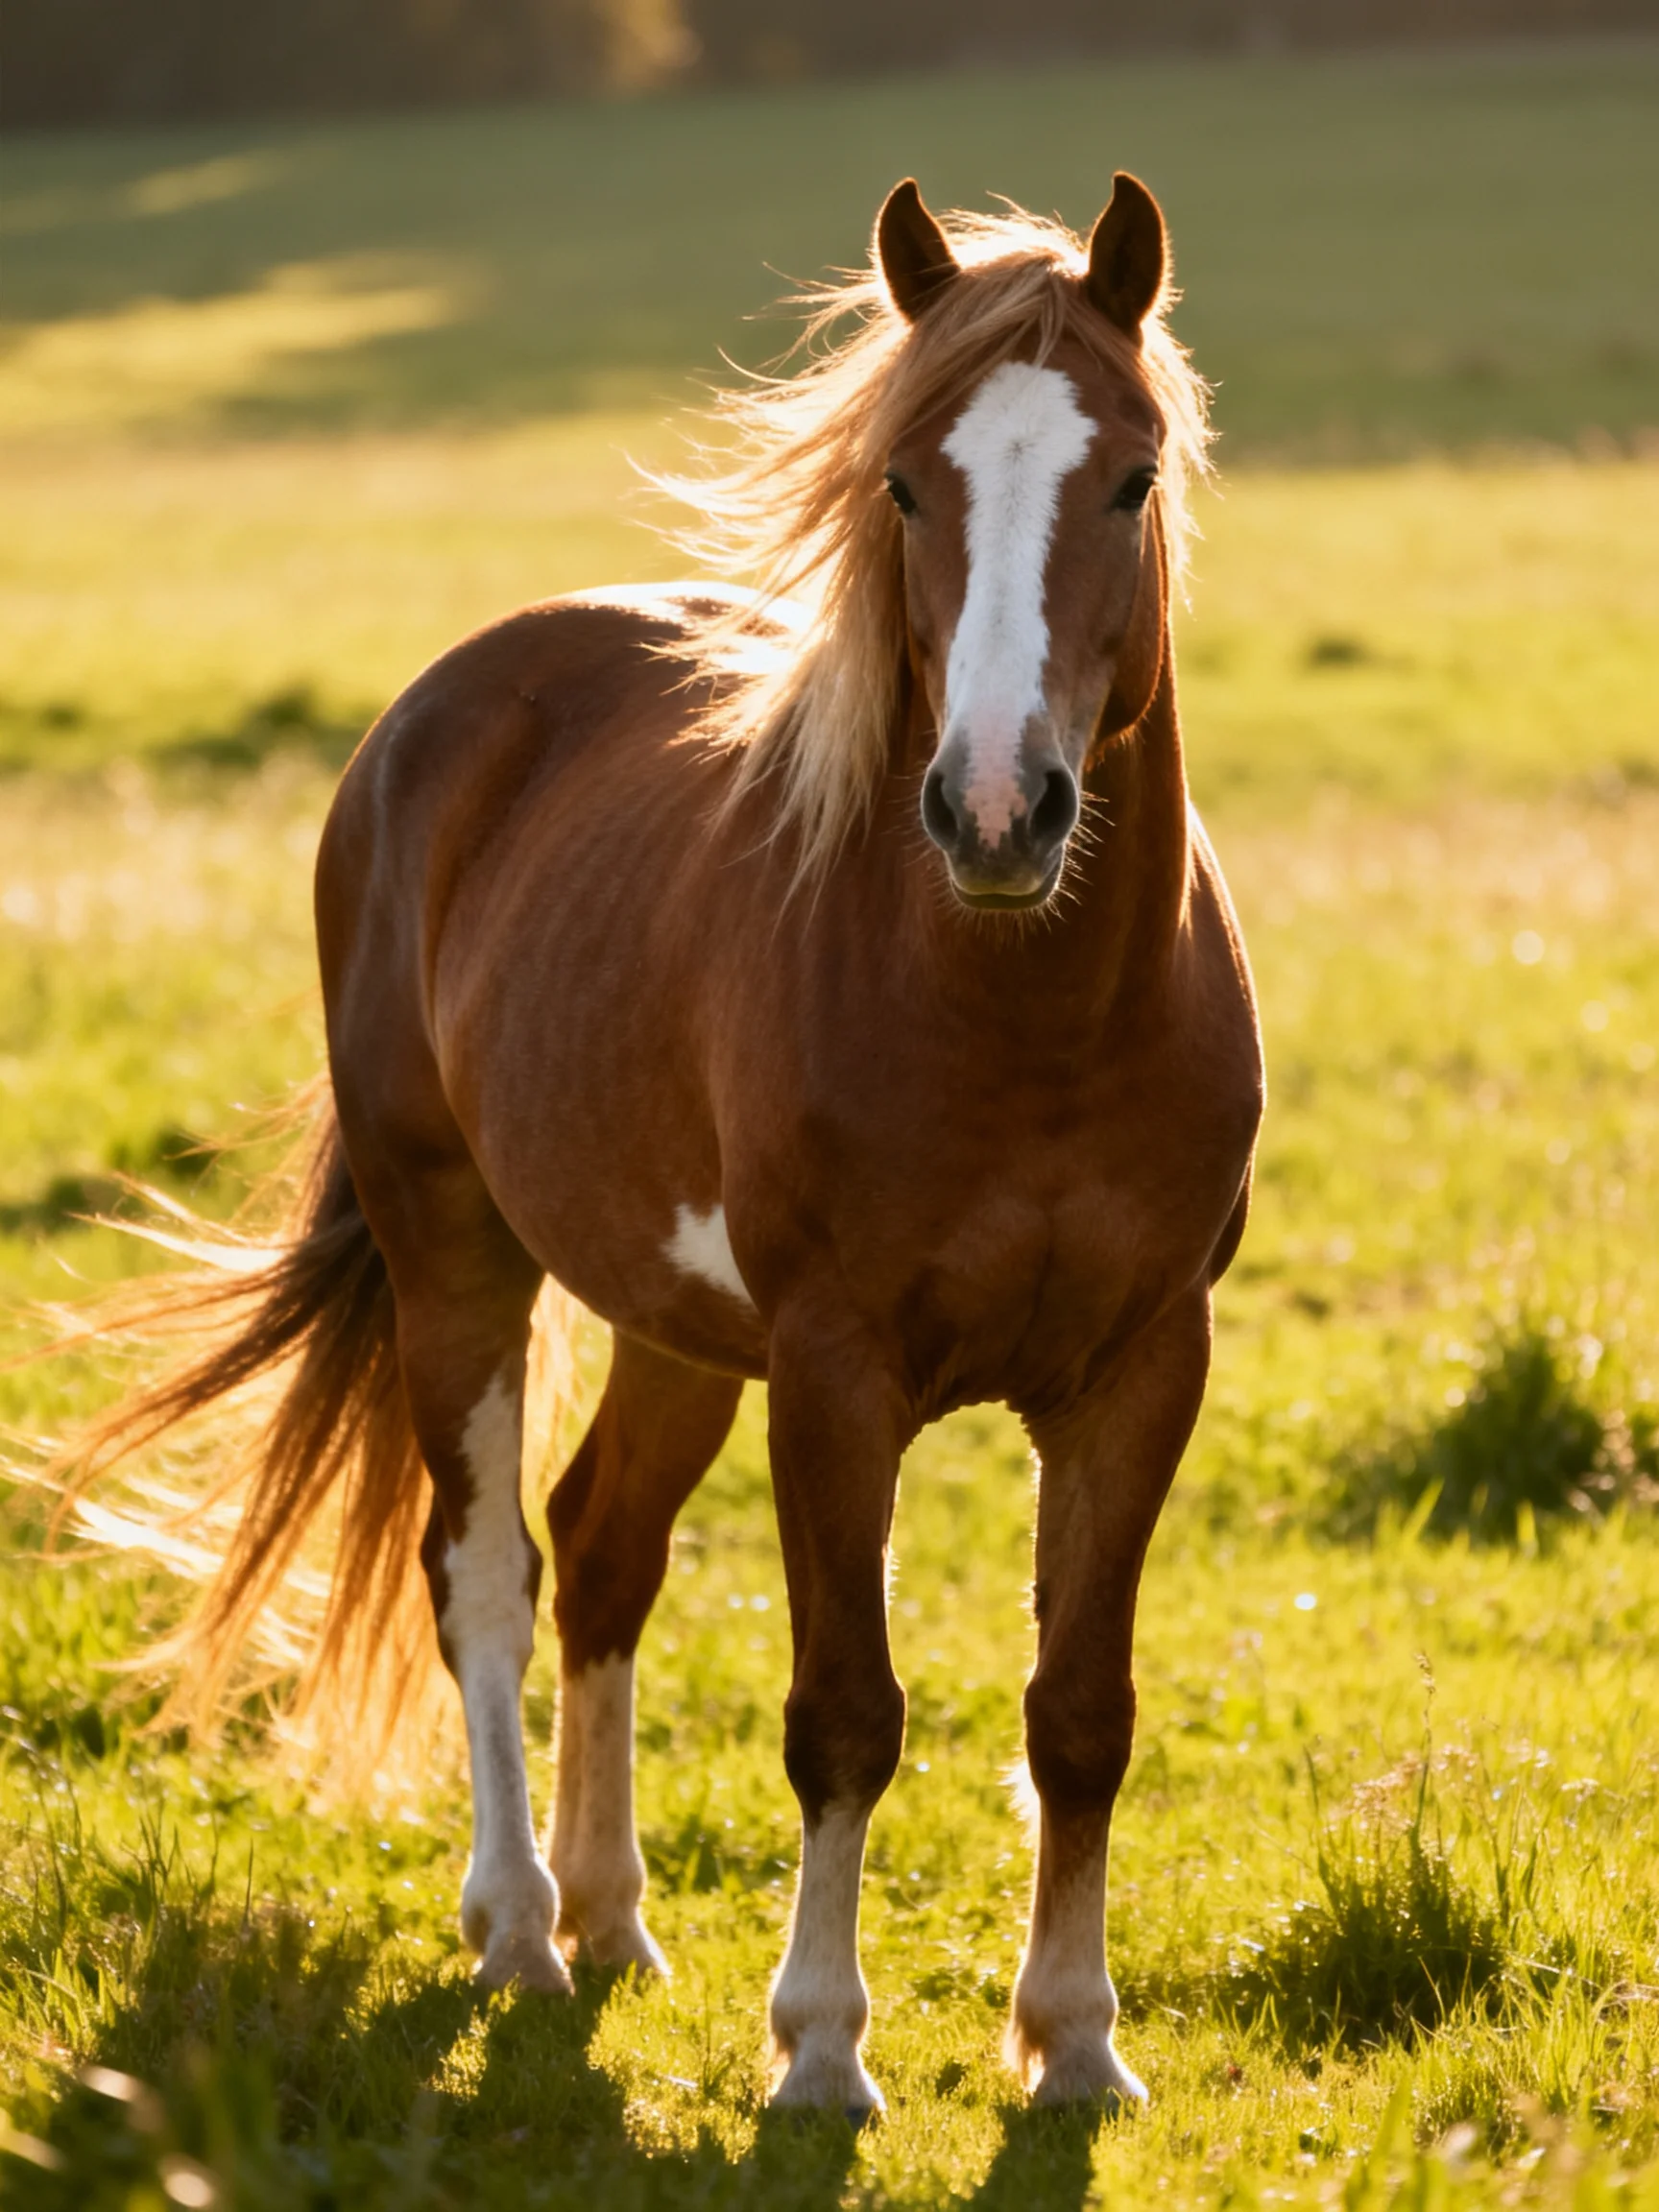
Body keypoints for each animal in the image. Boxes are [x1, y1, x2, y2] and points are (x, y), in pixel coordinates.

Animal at [67, 173, 1263, 2117]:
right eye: (903, 485)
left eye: (1131, 479)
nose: (995, 807)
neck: (1029, 1014)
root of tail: (439, 714)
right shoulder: (836, 1370)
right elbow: (845, 1711)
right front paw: (822, 2048)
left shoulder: (1143, 1361)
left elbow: (1081, 1713)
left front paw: (1076, 2041)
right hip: (456, 1256)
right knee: (487, 1570)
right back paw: (522, 1928)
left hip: (676, 1322)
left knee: (603, 1546)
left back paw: (614, 1914)